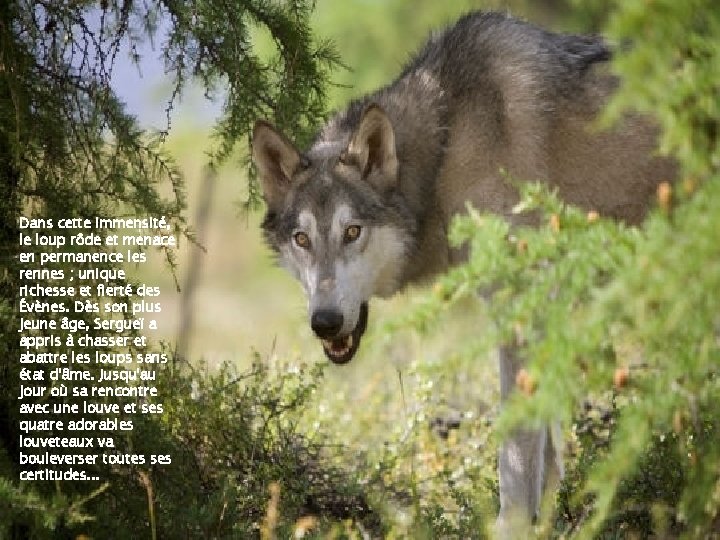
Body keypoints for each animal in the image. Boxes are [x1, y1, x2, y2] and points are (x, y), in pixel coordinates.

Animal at [249, 11, 676, 536]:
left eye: (352, 232)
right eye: (302, 239)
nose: (324, 322)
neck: (447, 146)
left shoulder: (518, 303)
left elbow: (516, 453)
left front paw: (513, 526)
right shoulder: (544, 309)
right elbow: (550, 453)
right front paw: (553, 521)